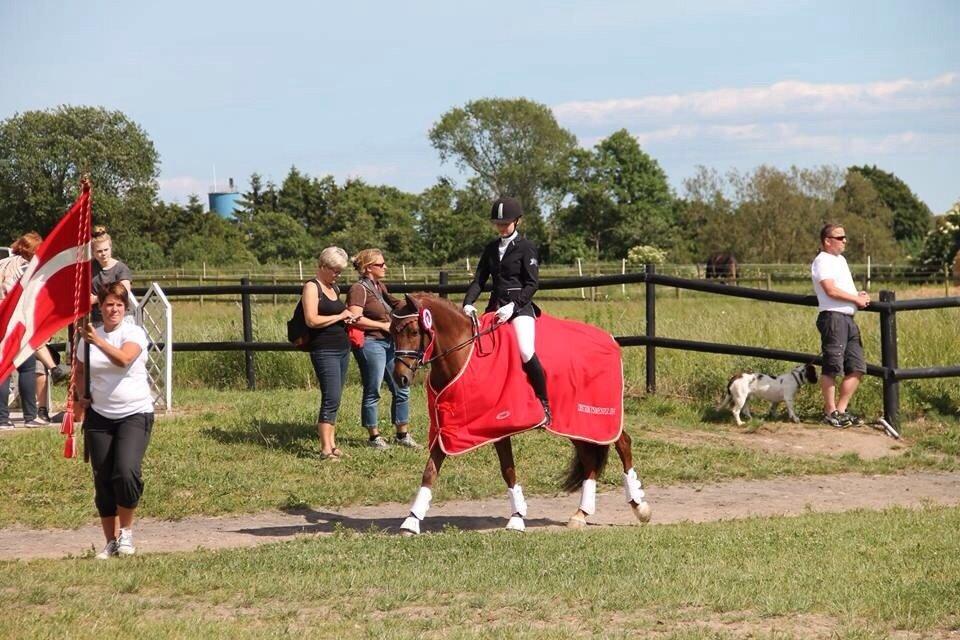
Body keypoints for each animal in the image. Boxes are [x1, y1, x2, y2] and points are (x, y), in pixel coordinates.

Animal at [390, 294, 652, 536]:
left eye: (414, 331)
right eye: (392, 331)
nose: (400, 378)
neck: (465, 356)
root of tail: (610, 339)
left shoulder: (497, 426)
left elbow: (508, 470)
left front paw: (516, 519)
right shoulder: (447, 429)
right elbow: (430, 471)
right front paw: (411, 522)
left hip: (600, 418)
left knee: (623, 443)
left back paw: (640, 507)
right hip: (575, 423)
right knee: (589, 460)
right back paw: (581, 514)